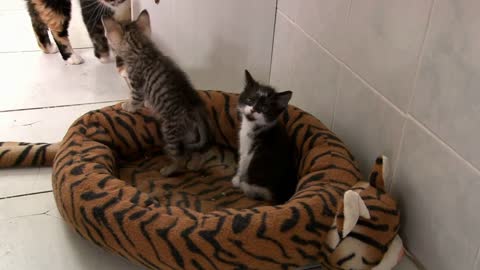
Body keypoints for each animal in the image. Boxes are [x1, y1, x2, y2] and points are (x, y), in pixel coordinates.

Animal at [102, 10, 211, 175]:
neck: (141, 48)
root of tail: (194, 105)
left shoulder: (136, 83)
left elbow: (135, 99)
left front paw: (128, 106)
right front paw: (146, 104)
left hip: (169, 130)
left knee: (180, 157)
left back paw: (169, 170)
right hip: (188, 134)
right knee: (195, 152)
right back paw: (194, 165)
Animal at [232, 70, 298, 204]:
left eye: (264, 108)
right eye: (250, 100)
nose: (253, 110)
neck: (254, 126)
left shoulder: (249, 149)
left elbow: (243, 163)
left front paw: (236, 179)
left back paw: (245, 186)